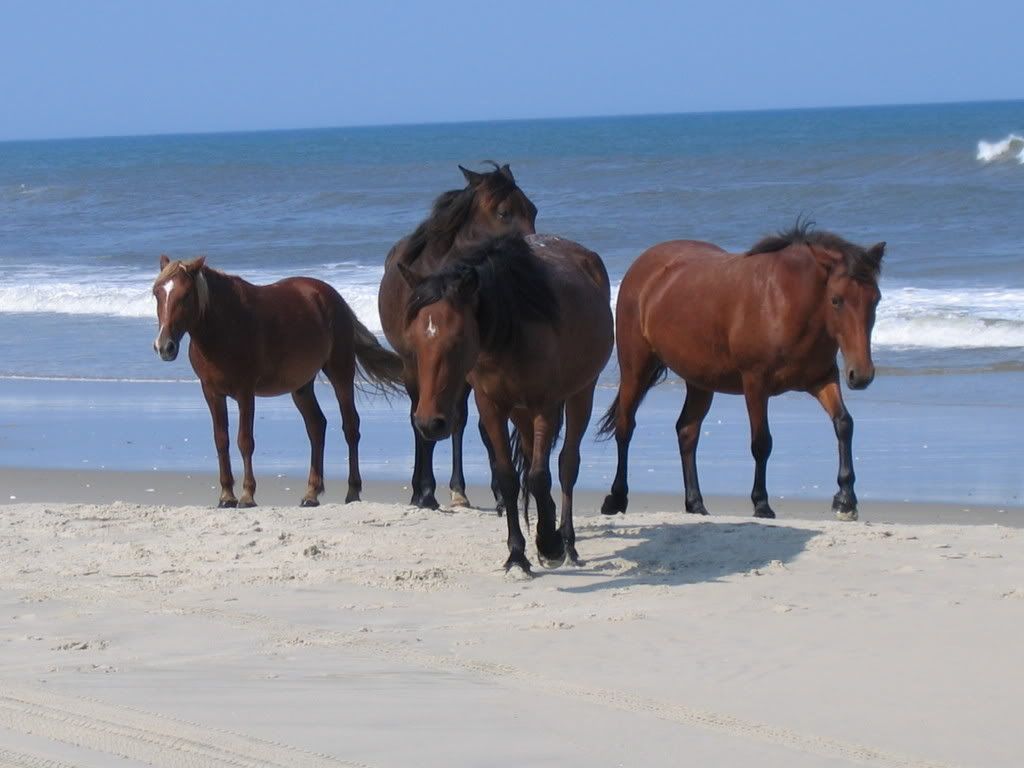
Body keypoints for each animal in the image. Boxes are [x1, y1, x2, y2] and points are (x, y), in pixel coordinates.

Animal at [152, 255, 403, 508]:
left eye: (185, 295)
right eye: (157, 293)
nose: (164, 347)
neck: (224, 326)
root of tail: (334, 297)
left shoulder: (245, 392)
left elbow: (245, 441)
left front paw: (247, 495)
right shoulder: (212, 393)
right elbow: (221, 440)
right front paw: (226, 495)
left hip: (340, 373)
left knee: (350, 427)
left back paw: (352, 491)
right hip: (301, 386)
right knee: (317, 426)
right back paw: (311, 492)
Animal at [378, 163, 538, 510]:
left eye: (532, 209)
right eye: (504, 212)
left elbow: (479, 425)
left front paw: (499, 493)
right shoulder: (417, 365)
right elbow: (420, 423)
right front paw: (425, 492)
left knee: (458, 419)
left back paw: (459, 490)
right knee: (423, 419)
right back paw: (422, 489)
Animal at [399, 233, 613, 573]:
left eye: (457, 340)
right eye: (414, 340)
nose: (429, 423)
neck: (511, 333)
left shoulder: (544, 405)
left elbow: (539, 476)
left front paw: (549, 545)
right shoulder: (492, 407)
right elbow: (509, 477)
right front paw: (517, 554)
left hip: (581, 393)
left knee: (567, 464)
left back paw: (566, 542)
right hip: (520, 413)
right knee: (531, 456)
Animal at [599, 223, 884, 521]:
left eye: (875, 300)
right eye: (836, 300)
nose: (861, 375)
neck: (786, 304)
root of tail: (642, 266)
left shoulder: (821, 378)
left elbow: (844, 424)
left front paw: (846, 500)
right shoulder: (755, 384)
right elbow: (761, 442)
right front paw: (761, 503)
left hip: (700, 381)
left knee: (687, 431)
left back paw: (695, 503)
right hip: (635, 370)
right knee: (625, 427)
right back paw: (616, 498)